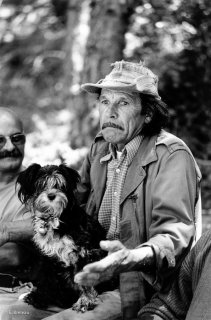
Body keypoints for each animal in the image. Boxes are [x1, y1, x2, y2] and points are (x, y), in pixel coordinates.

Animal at [17, 164, 108, 312]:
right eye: (41, 185)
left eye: (60, 185)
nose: (51, 195)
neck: (55, 219)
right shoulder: (48, 256)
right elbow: (46, 279)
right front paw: (38, 297)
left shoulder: (83, 252)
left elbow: (83, 279)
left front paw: (85, 301)